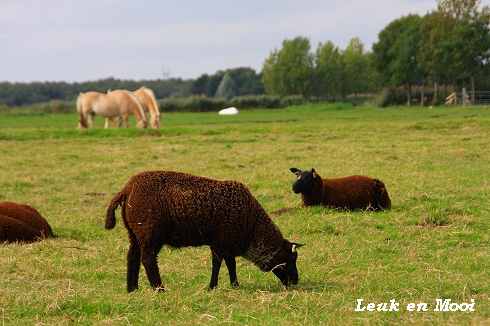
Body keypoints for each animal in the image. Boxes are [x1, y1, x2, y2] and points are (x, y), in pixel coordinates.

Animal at [105, 171, 302, 292]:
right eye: (289, 259)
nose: (296, 281)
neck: (252, 226)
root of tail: (127, 189)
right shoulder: (221, 242)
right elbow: (219, 264)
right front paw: (213, 286)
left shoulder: (224, 244)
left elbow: (229, 264)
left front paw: (234, 285)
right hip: (149, 232)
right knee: (147, 259)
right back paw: (159, 289)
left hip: (134, 233)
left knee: (132, 257)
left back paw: (132, 289)